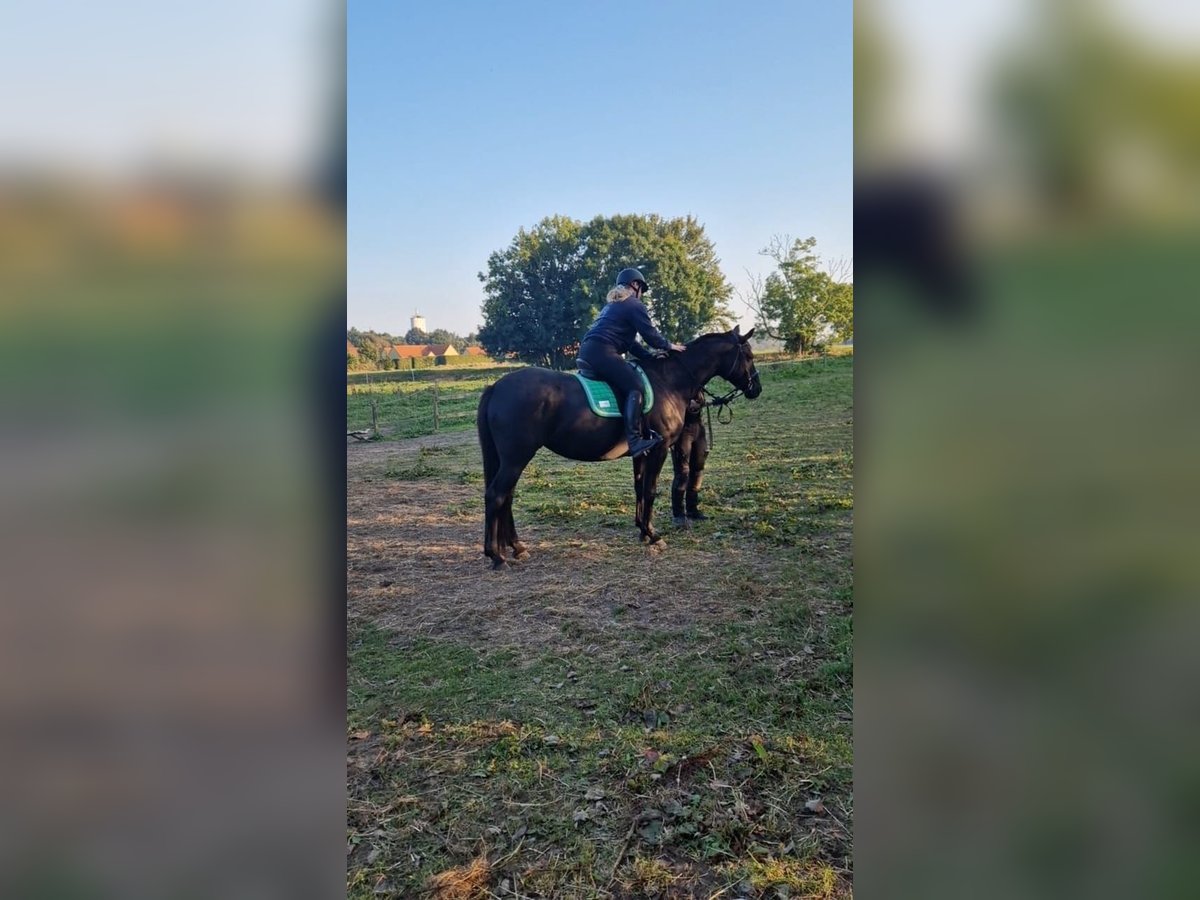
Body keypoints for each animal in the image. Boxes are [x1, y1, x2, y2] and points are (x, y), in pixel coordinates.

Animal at [470, 328, 758, 571]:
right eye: (748, 355)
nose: (757, 388)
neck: (668, 381)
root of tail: (496, 386)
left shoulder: (641, 453)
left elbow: (640, 489)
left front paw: (642, 531)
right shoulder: (660, 449)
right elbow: (650, 491)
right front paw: (654, 536)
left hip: (511, 459)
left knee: (506, 497)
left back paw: (517, 547)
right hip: (516, 458)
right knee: (496, 496)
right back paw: (496, 556)